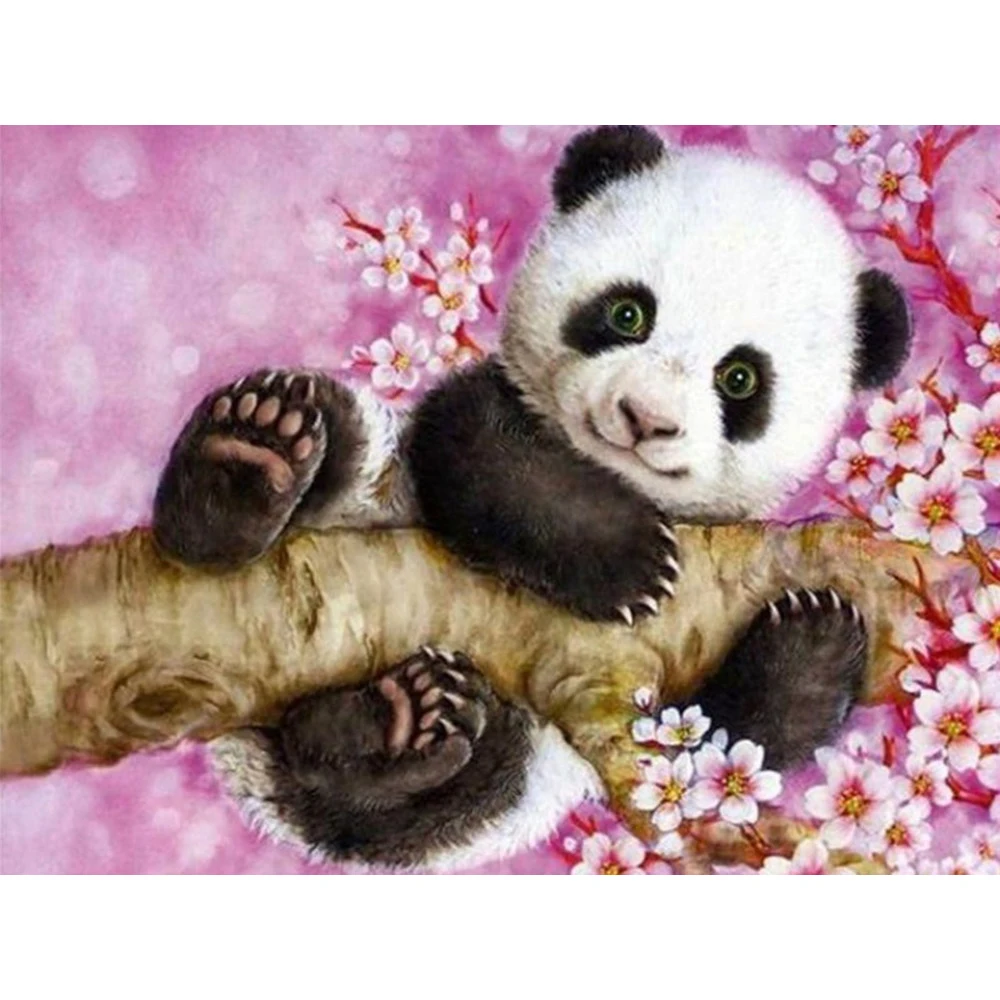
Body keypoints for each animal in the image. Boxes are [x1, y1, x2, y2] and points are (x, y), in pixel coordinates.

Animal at [153, 126, 912, 870]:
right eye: (627, 313)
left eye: (740, 378)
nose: (644, 418)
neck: (608, 474)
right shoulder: (475, 416)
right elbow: (484, 454)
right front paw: (630, 565)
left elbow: (705, 749)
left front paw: (815, 639)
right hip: (371, 481)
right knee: (339, 435)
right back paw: (244, 463)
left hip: (511, 767)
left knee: (419, 794)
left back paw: (398, 722)